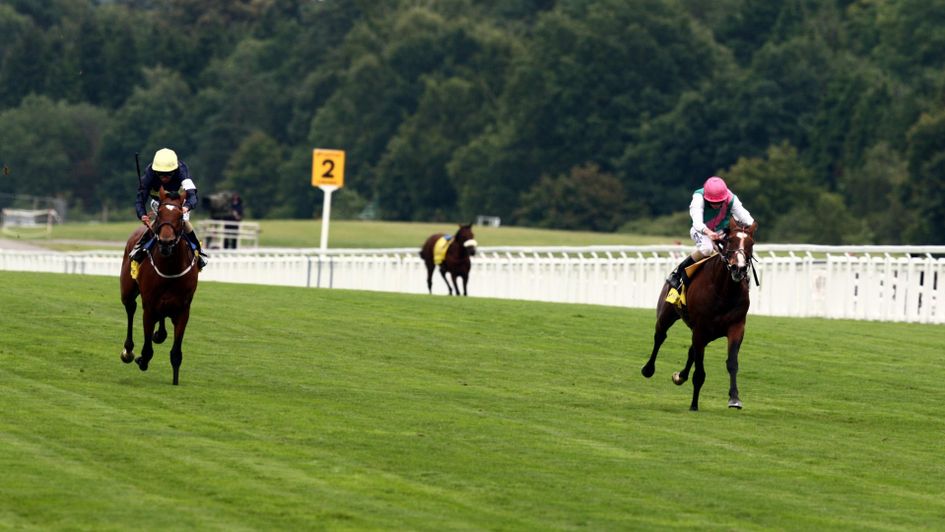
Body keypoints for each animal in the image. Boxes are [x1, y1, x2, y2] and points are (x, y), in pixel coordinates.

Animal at [120, 189, 199, 384]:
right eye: (160, 214)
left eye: (180, 216)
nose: (165, 242)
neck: (170, 267)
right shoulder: (148, 307)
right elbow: (147, 348)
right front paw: (142, 359)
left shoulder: (183, 309)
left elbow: (176, 353)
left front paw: (175, 380)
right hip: (127, 291)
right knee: (130, 308)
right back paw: (128, 351)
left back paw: (159, 334)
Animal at [636, 218, 756, 410]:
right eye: (730, 240)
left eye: (751, 243)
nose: (739, 268)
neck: (724, 291)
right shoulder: (701, 329)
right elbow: (699, 372)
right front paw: (694, 405)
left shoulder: (736, 327)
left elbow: (732, 363)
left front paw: (734, 398)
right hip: (667, 314)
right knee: (660, 336)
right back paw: (649, 369)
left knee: (691, 350)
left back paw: (680, 376)